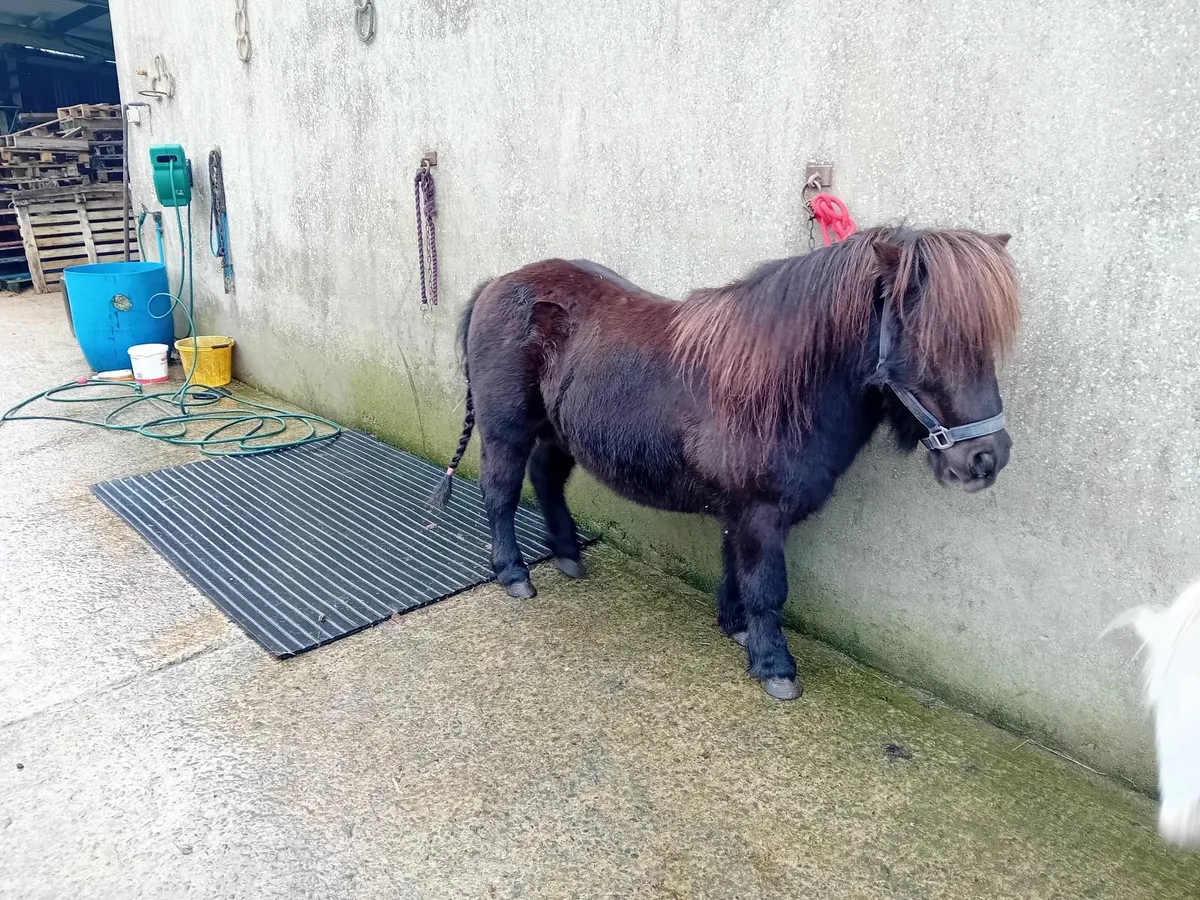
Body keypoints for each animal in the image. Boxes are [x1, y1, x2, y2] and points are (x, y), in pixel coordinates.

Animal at [432, 226, 1021, 701]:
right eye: (929, 342)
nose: (986, 459)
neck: (779, 387)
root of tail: (496, 284)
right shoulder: (760, 512)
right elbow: (768, 586)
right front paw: (774, 666)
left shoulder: (741, 510)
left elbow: (737, 569)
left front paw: (736, 627)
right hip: (507, 430)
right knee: (502, 491)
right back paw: (513, 573)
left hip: (560, 432)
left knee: (546, 479)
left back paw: (568, 555)